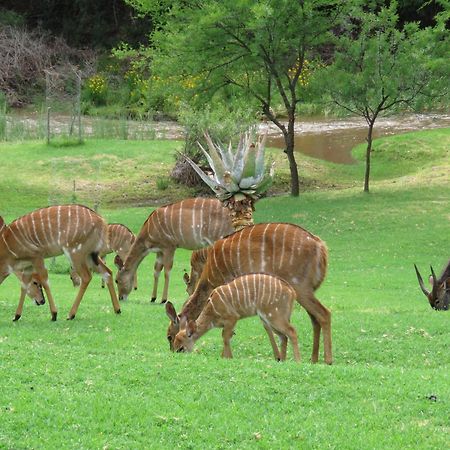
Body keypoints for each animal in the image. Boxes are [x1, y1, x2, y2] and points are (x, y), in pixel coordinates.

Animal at [171, 270, 300, 362]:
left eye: (181, 348)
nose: (175, 353)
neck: (211, 310)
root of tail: (292, 292)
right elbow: (227, 337)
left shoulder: (232, 318)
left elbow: (225, 337)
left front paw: (227, 357)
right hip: (268, 319)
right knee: (283, 336)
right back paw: (282, 360)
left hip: (274, 316)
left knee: (291, 331)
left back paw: (297, 360)